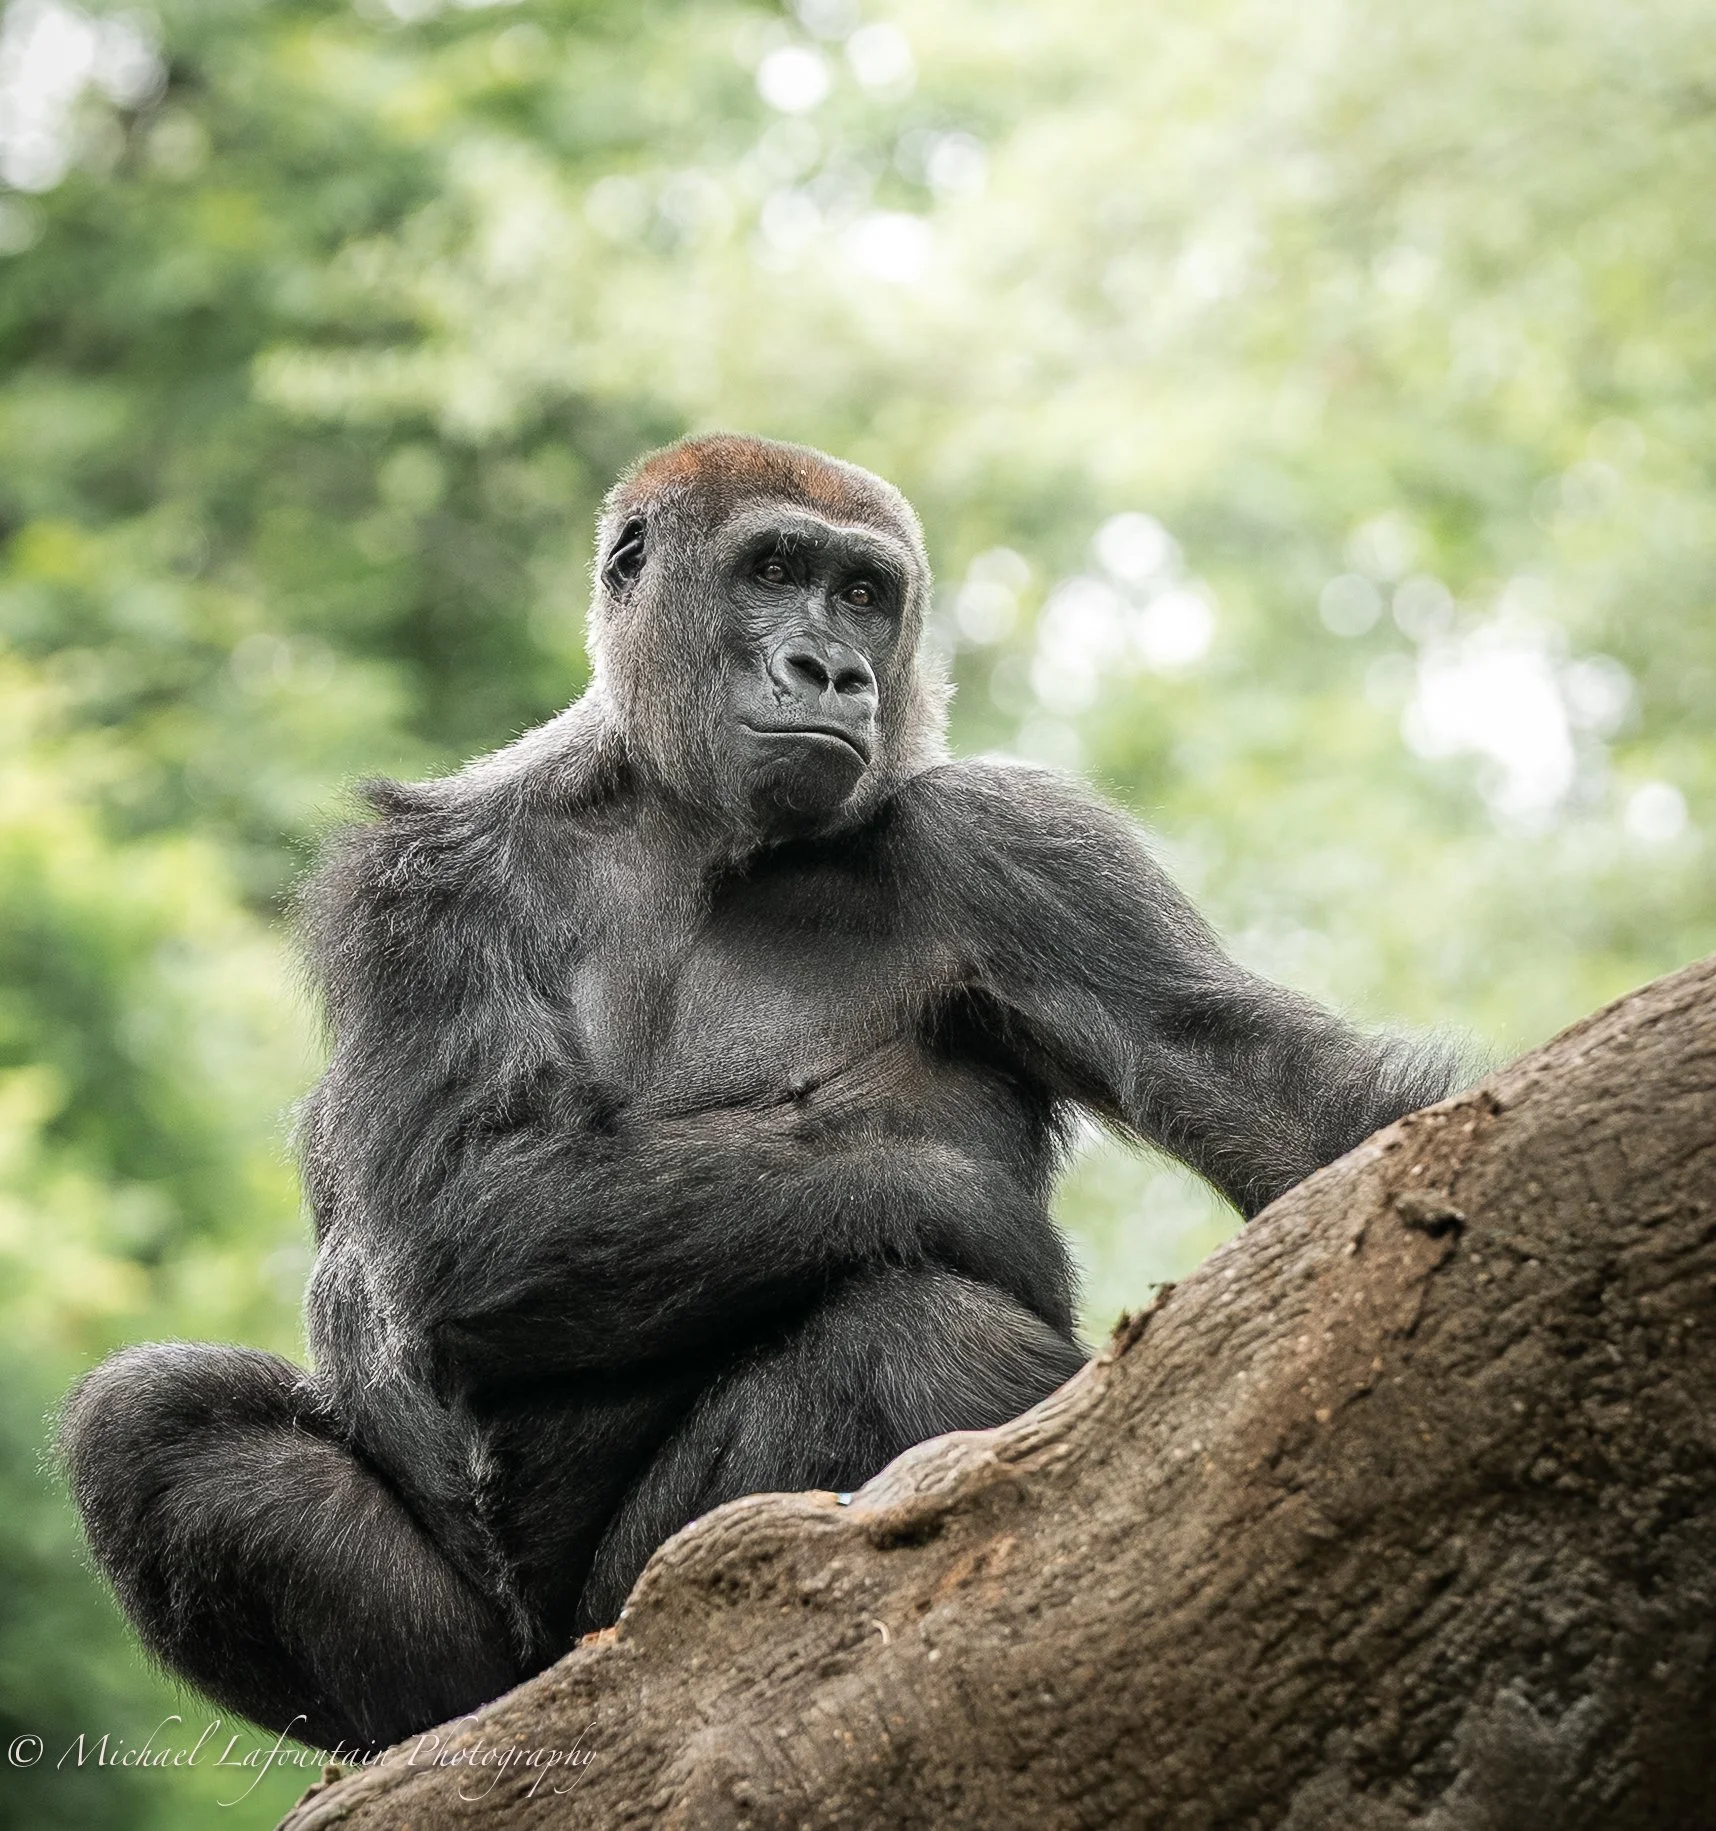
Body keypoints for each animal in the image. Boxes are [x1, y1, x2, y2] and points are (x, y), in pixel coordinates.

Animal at [59, 433, 1462, 1753]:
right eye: (775, 571)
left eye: (865, 594)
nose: (830, 671)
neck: (677, 814)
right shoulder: (417, 882)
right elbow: (474, 1212)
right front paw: (982, 1208)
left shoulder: (1025, 846)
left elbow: (1272, 1094)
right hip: (528, 1641)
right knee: (156, 1422)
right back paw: (430, 1724)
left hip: (644, 1591)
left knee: (918, 1343)